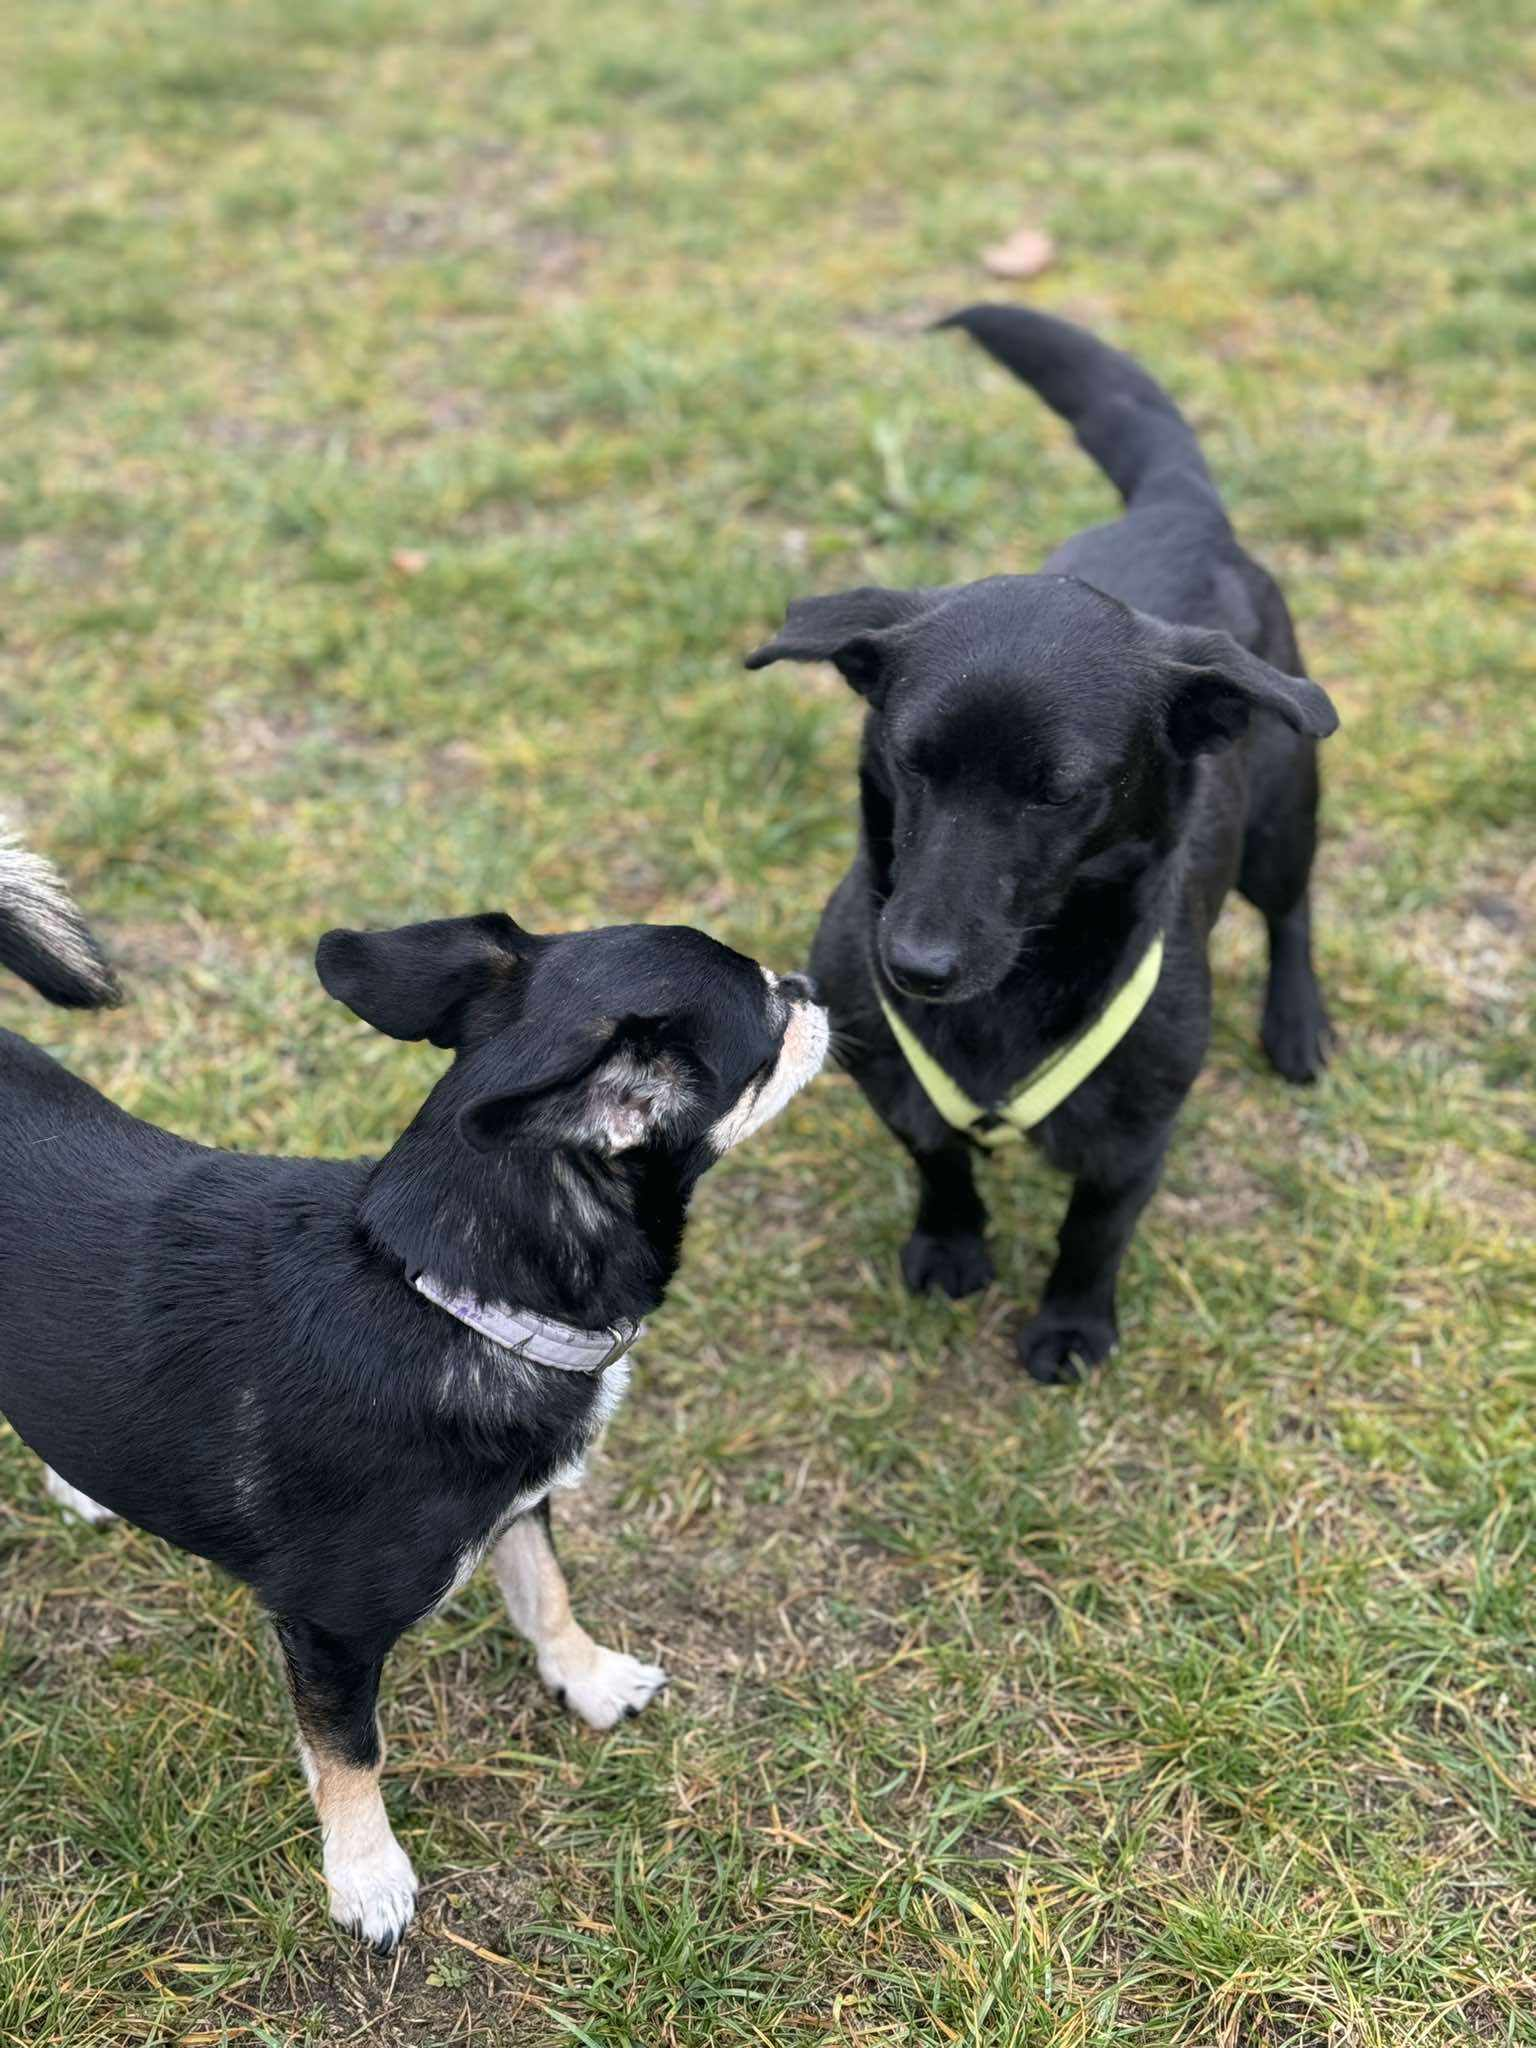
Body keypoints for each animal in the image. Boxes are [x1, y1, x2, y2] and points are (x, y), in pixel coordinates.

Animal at [0, 879, 827, 1949]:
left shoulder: (522, 1507)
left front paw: (589, 1679)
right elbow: (353, 1752)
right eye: (771, 1019)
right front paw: (366, 1873)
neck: (445, 1293)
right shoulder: (327, 1631)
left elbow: (545, 1593)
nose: (810, 982)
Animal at [747, 304, 1338, 1384]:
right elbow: (938, 1160)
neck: (1013, 990)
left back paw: (1296, 1021)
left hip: (1283, 818)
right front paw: (950, 1242)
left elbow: (1092, 1232)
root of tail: (1179, 509)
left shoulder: (1134, 1136)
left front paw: (1071, 1324)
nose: (915, 965)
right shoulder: (892, 1081)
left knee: (1292, 911)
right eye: (911, 760)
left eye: (1057, 795)